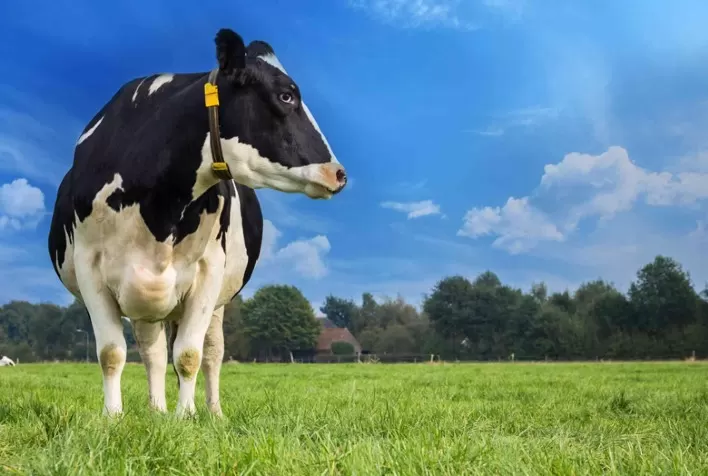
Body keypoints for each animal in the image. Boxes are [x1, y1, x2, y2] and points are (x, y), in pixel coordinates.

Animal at [47, 28, 347, 417]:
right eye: (286, 95)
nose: (338, 173)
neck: (157, 207)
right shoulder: (89, 267)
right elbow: (112, 353)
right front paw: (114, 417)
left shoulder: (208, 270)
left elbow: (189, 355)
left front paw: (186, 416)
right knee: (153, 353)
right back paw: (156, 411)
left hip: (213, 302)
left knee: (211, 353)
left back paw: (212, 412)